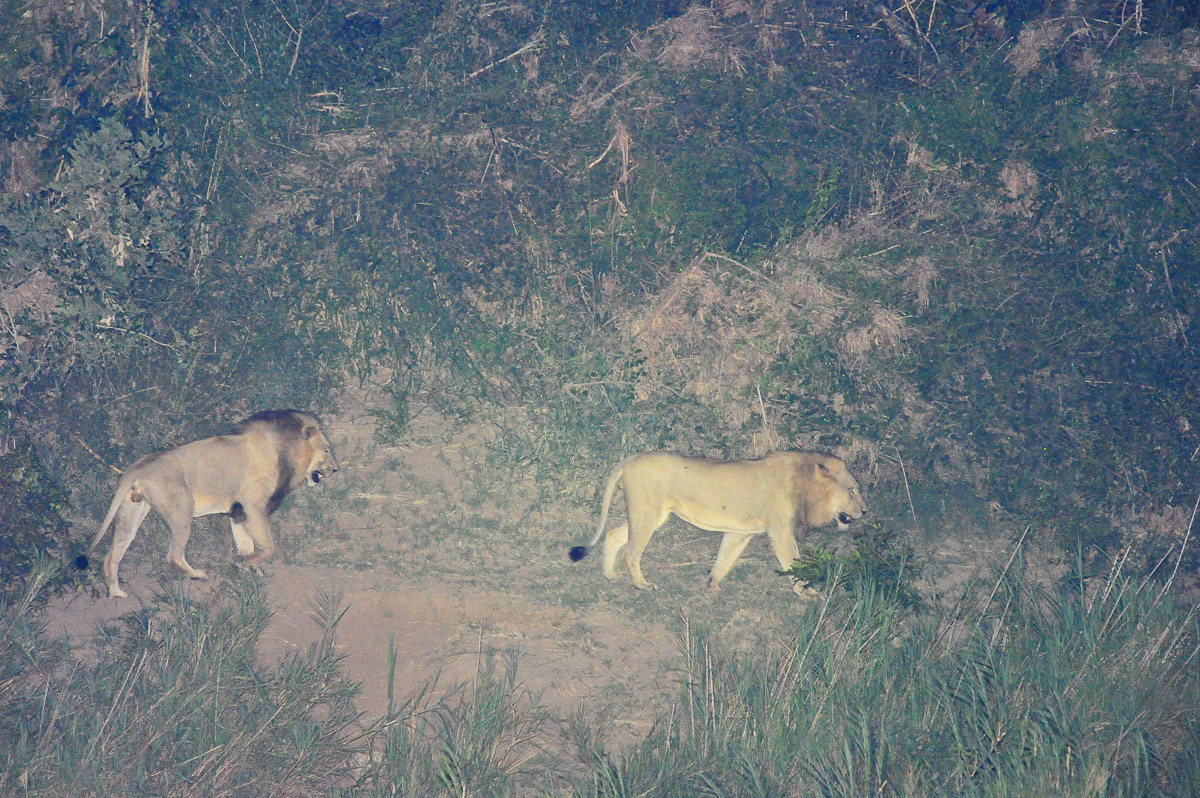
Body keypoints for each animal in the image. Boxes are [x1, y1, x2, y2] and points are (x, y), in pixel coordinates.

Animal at [79, 409, 338, 598]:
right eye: (327, 450)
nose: (336, 469)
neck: (285, 448)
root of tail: (137, 468)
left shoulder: (238, 511)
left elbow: (246, 544)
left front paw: (248, 567)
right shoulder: (252, 506)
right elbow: (268, 546)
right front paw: (244, 563)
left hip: (132, 513)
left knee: (112, 556)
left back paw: (116, 592)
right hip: (182, 510)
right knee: (173, 556)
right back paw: (198, 575)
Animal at [569, 450, 866, 596]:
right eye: (852, 490)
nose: (865, 510)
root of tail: (630, 459)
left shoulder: (739, 532)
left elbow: (725, 558)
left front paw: (711, 584)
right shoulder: (781, 531)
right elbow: (794, 563)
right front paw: (808, 594)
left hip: (650, 514)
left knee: (613, 534)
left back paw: (609, 575)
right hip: (647, 512)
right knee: (631, 552)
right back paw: (642, 585)